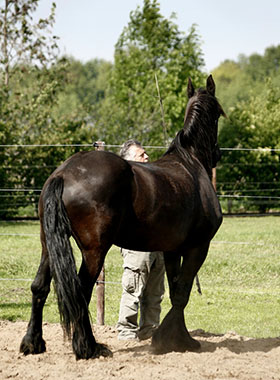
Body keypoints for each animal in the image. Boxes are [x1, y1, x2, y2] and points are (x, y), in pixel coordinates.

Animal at [20, 74, 225, 360]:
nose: (217, 154)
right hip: (94, 251)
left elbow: (175, 291)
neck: (190, 163)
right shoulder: (198, 247)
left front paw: (174, 339)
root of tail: (64, 173)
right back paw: (88, 347)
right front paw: (174, 340)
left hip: (48, 244)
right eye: (219, 113)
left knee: (39, 286)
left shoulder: (172, 250)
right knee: (80, 291)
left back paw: (33, 343)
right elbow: (183, 293)